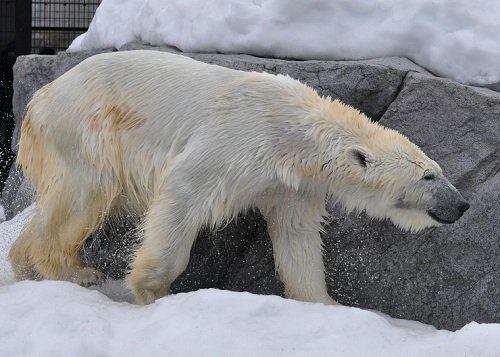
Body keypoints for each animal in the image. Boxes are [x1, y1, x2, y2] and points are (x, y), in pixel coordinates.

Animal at [8, 50, 468, 304]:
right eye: (429, 177)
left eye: (440, 171)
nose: (462, 204)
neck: (291, 132)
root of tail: (40, 97)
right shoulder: (235, 141)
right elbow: (183, 193)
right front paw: (152, 289)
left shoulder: (292, 186)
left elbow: (297, 240)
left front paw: (327, 303)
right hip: (86, 128)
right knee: (87, 192)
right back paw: (74, 271)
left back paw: (25, 264)